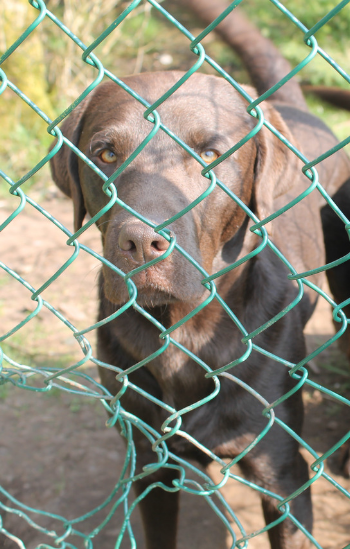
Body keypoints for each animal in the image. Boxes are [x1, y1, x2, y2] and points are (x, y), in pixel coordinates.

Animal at [48, 5, 350, 548]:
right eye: (105, 153)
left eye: (210, 156)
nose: (139, 242)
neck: (183, 331)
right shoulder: (150, 463)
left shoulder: (283, 476)